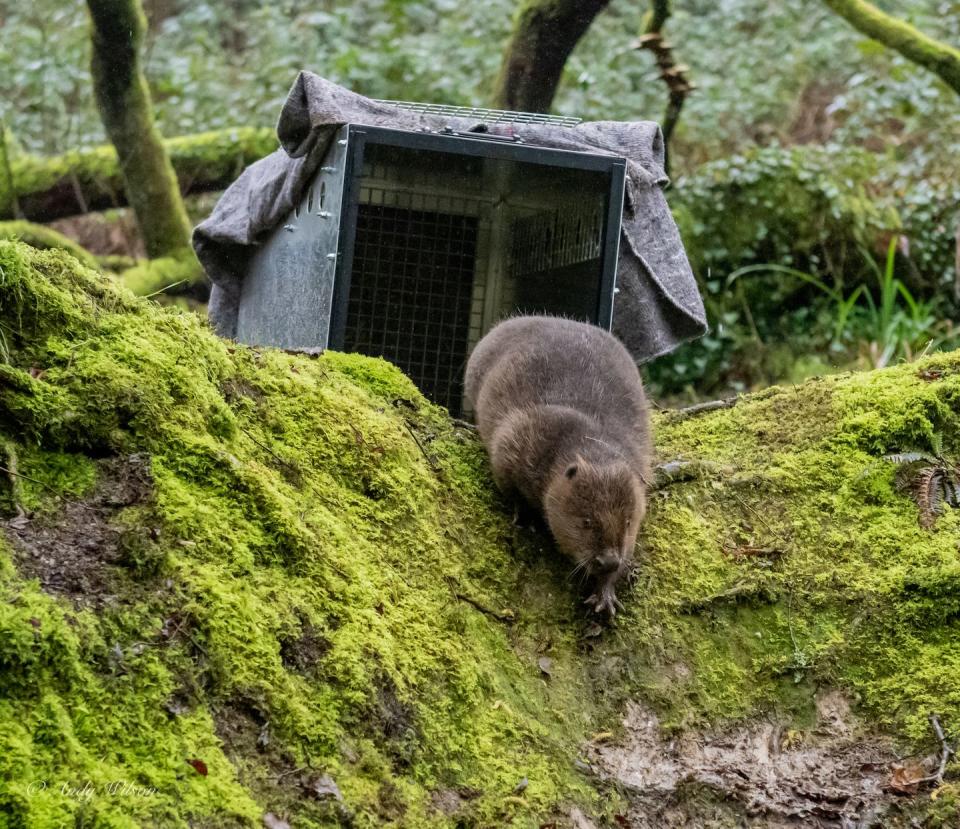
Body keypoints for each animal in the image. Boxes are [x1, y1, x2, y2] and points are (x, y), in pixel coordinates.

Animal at [464, 316, 652, 616]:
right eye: (587, 521)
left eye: (628, 521)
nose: (608, 560)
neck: (587, 436)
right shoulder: (518, 437)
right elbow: (508, 482)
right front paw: (527, 519)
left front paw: (605, 596)